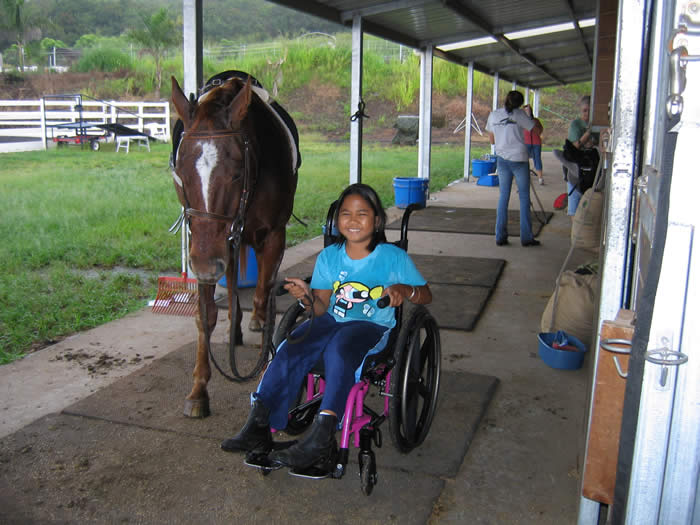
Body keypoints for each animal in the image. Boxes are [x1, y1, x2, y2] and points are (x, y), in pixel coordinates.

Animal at [173, 74, 300, 418]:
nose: (205, 266)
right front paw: (198, 390)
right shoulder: (206, 244)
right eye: (180, 172)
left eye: (237, 172)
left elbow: (265, 292)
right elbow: (206, 316)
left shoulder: (274, 236)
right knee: (231, 285)